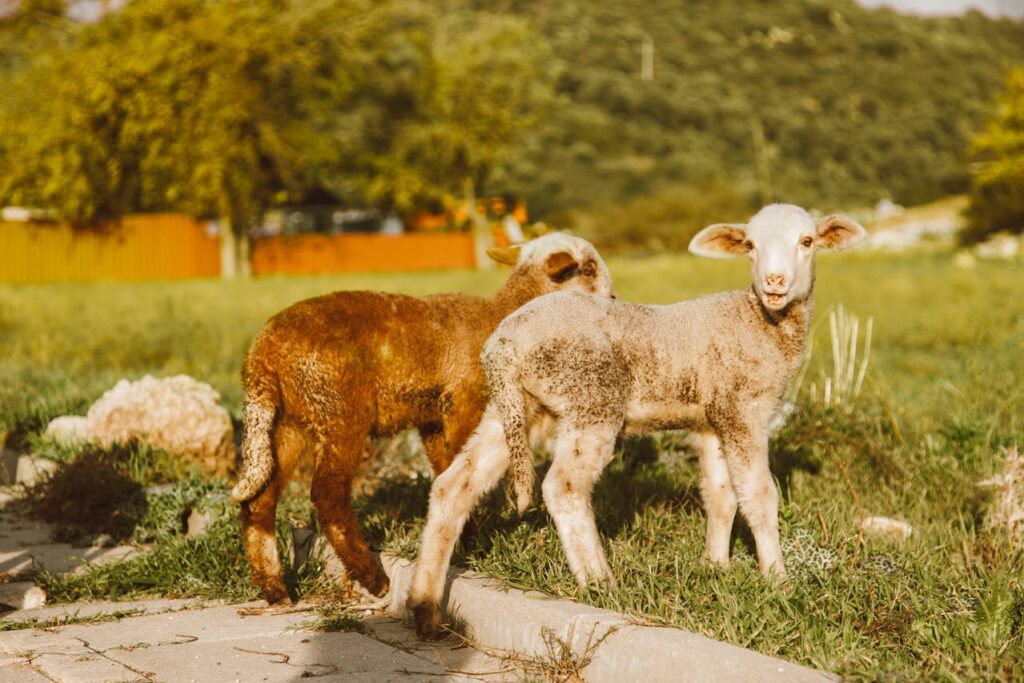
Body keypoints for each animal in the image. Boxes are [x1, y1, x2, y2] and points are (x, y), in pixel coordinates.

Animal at [230, 233, 615, 604]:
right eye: (588, 268)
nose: (613, 298)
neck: (502, 314)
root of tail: (262, 355)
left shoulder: (433, 420)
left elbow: (446, 468)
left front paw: (462, 537)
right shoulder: (464, 403)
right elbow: (462, 470)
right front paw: (472, 538)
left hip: (287, 421)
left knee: (259, 500)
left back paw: (275, 590)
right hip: (338, 412)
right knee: (328, 496)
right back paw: (373, 578)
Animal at [407, 204, 866, 637]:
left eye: (807, 241)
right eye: (750, 245)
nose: (774, 282)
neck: (758, 321)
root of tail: (504, 343)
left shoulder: (714, 419)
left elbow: (721, 495)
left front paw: (716, 567)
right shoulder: (743, 411)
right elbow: (759, 495)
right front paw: (778, 580)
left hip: (519, 407)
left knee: (454, 484)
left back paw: (424, 605)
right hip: (592, 396)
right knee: (563, 486)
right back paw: (599, 581)